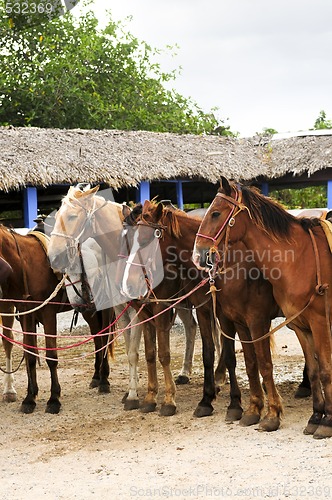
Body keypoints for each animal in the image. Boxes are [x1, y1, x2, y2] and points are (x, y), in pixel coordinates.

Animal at [193, 178, 332, 440]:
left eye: (215, 213)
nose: (198, 255)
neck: (298, 259)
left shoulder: (304, 322)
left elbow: (276, 366)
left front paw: (322, 421)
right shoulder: (292, 325)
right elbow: (255, 364)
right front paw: (313, 416)